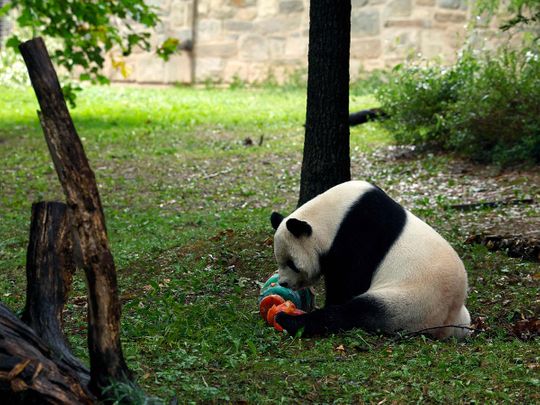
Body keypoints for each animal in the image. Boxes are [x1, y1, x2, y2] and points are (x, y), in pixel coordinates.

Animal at [272, 180, 470, 338]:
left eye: (292, 264)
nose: (283, 283)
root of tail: (448, 323)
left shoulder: (359, 236)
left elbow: (347, 283)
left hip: (412, 303)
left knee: (356, 313)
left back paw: (287, 320)